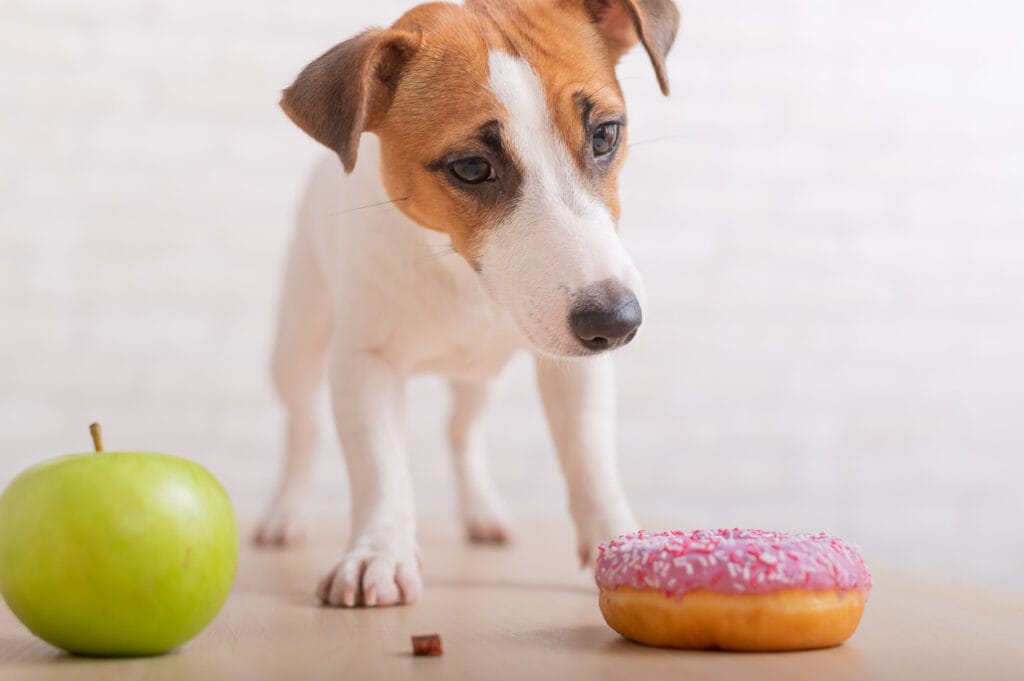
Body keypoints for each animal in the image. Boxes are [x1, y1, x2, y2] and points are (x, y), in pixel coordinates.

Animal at [253, 0, 679, 606]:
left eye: (604, 135)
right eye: (472, 168)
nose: (616, 322)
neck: (463, 277)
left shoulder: (577, 369)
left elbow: (590, 457)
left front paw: (616, 539)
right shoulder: (363, 363)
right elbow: (378, 463)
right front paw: (379, 552)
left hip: (481, 379)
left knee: (462, 431)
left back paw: (483, 513)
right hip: (297, 342)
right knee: (302, 427)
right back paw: (284, 513)